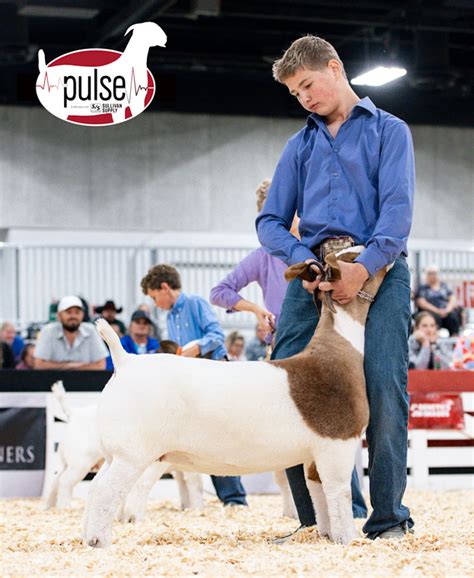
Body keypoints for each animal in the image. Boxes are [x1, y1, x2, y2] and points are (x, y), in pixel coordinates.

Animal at [84, 249, 388, 544]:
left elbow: (318, 491)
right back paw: (99, 540)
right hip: (132, 453)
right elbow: (338, 491)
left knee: (95, 486)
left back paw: (86, 535)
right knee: (106, 489)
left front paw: (326, 535)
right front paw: (349, 538)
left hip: (114, 452)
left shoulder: (314, 454)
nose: (387, 260)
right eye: (354, 258)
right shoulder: (337, 443)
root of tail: (125, 361)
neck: (340, 350)